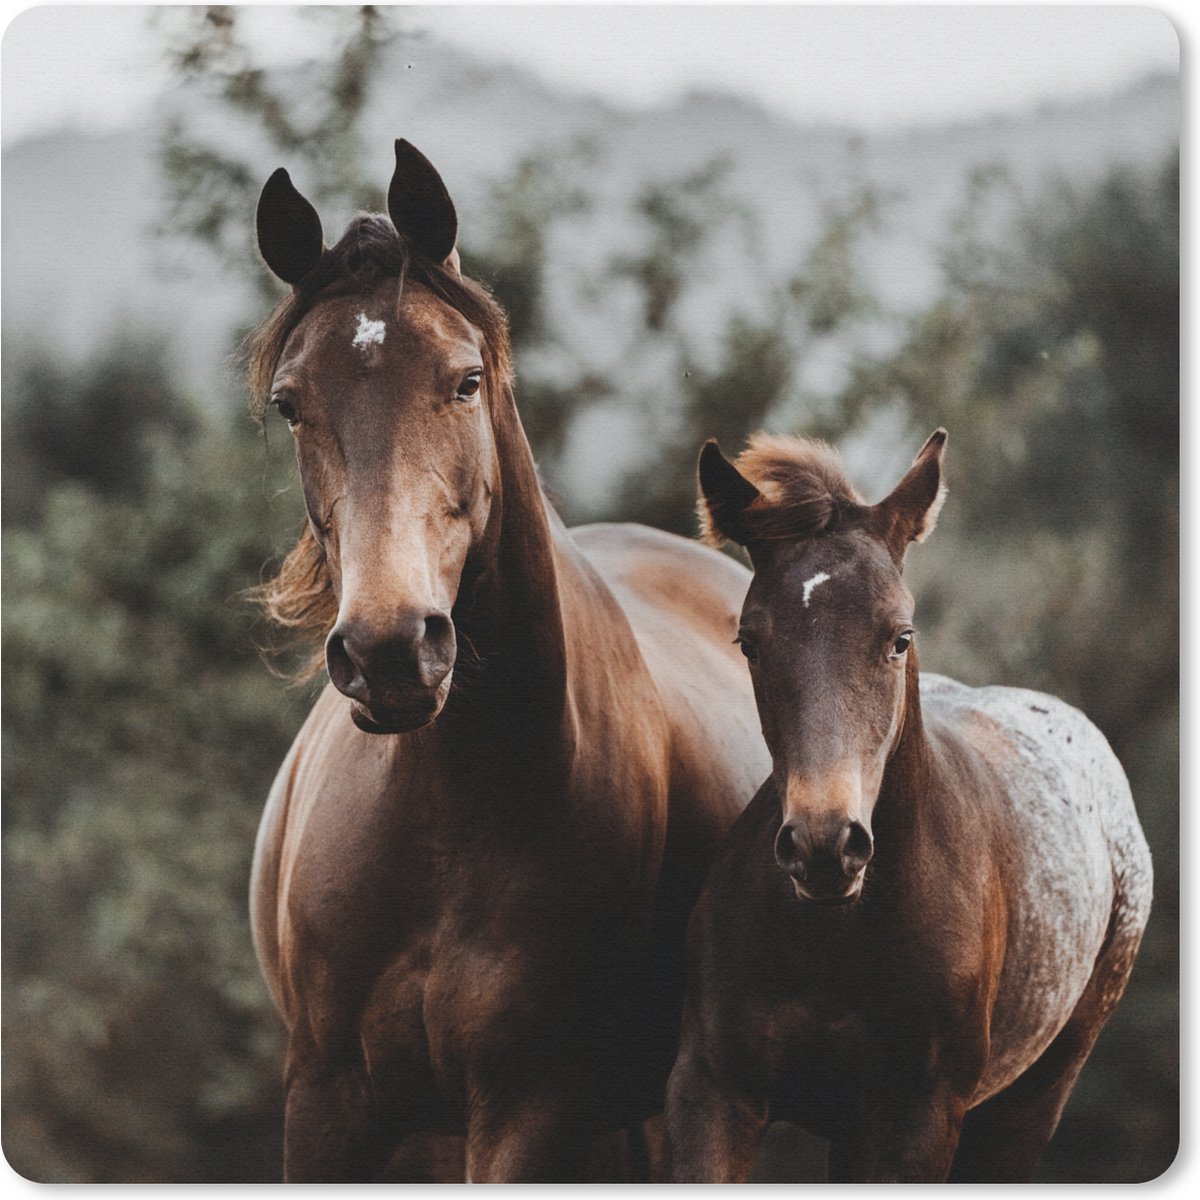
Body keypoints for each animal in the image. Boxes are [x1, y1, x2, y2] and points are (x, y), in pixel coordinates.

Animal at [246, 139, 770, 1181]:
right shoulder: (324, 1101)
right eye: (291, 404)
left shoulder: (529, 1108)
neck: (449, 814)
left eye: (464, 380)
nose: (390, 649)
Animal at [665, 429, 1152, 1182]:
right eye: (749, 640)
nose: (824, 845)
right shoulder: (714, 1090)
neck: (838, 936)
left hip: (1029, 1104)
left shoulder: (914, 1119)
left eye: (900, 637)